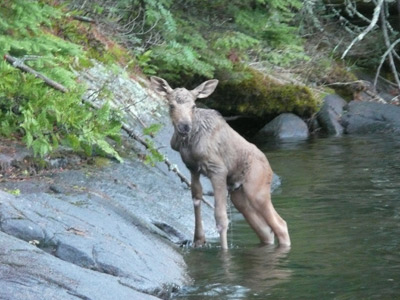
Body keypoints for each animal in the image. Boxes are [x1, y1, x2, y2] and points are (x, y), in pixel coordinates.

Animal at [151, 76, 290, 250]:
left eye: (194, 105)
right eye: (171, 105)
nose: (184, 126)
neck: (189, 142)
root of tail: (270, 169)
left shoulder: (218, 170)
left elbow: (221, 218)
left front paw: (223, 251)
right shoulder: (193, 168)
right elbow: (196, 198)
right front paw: (198, 240)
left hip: (257, 191)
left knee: (281, 225)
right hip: (240, 196)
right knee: (266, 231)